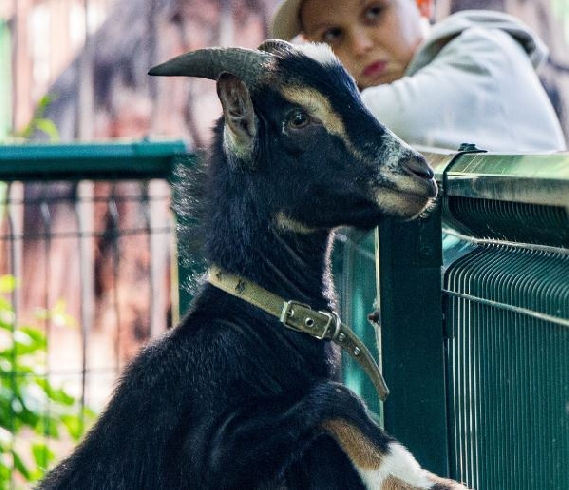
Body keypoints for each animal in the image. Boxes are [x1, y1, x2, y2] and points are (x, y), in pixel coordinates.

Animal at [37, 39, 468, 490]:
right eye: (298, 117)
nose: (419, 173)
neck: (255, 327)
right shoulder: (210, 456)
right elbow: (334, 397)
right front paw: (404, 473)